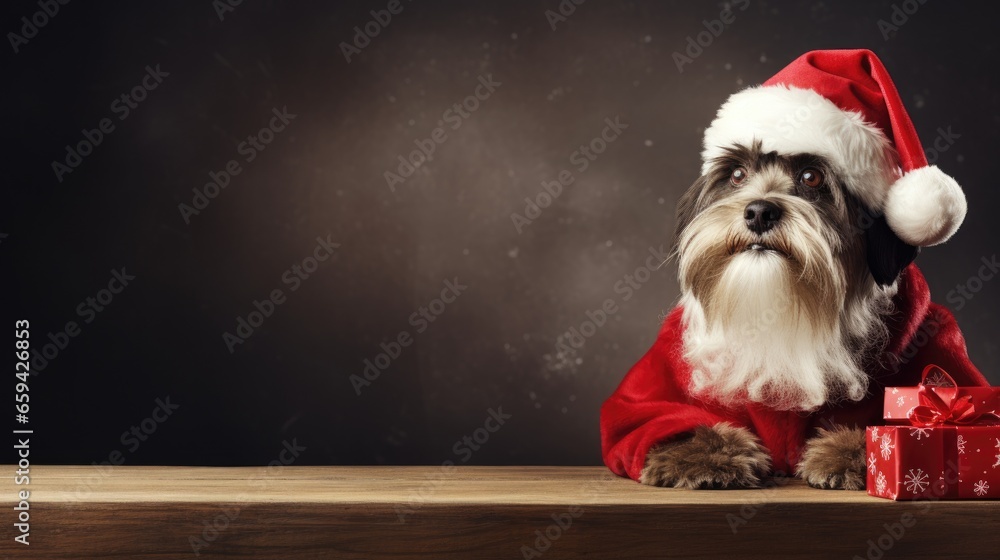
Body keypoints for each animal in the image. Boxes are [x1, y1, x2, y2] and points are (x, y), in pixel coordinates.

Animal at [596, 49, 988, 490]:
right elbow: (656, 418)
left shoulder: (933, 338)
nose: (758, 211)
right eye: (737, 174)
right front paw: (706, 454)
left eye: (811, 177)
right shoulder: (655, 384)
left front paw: (849, 451)